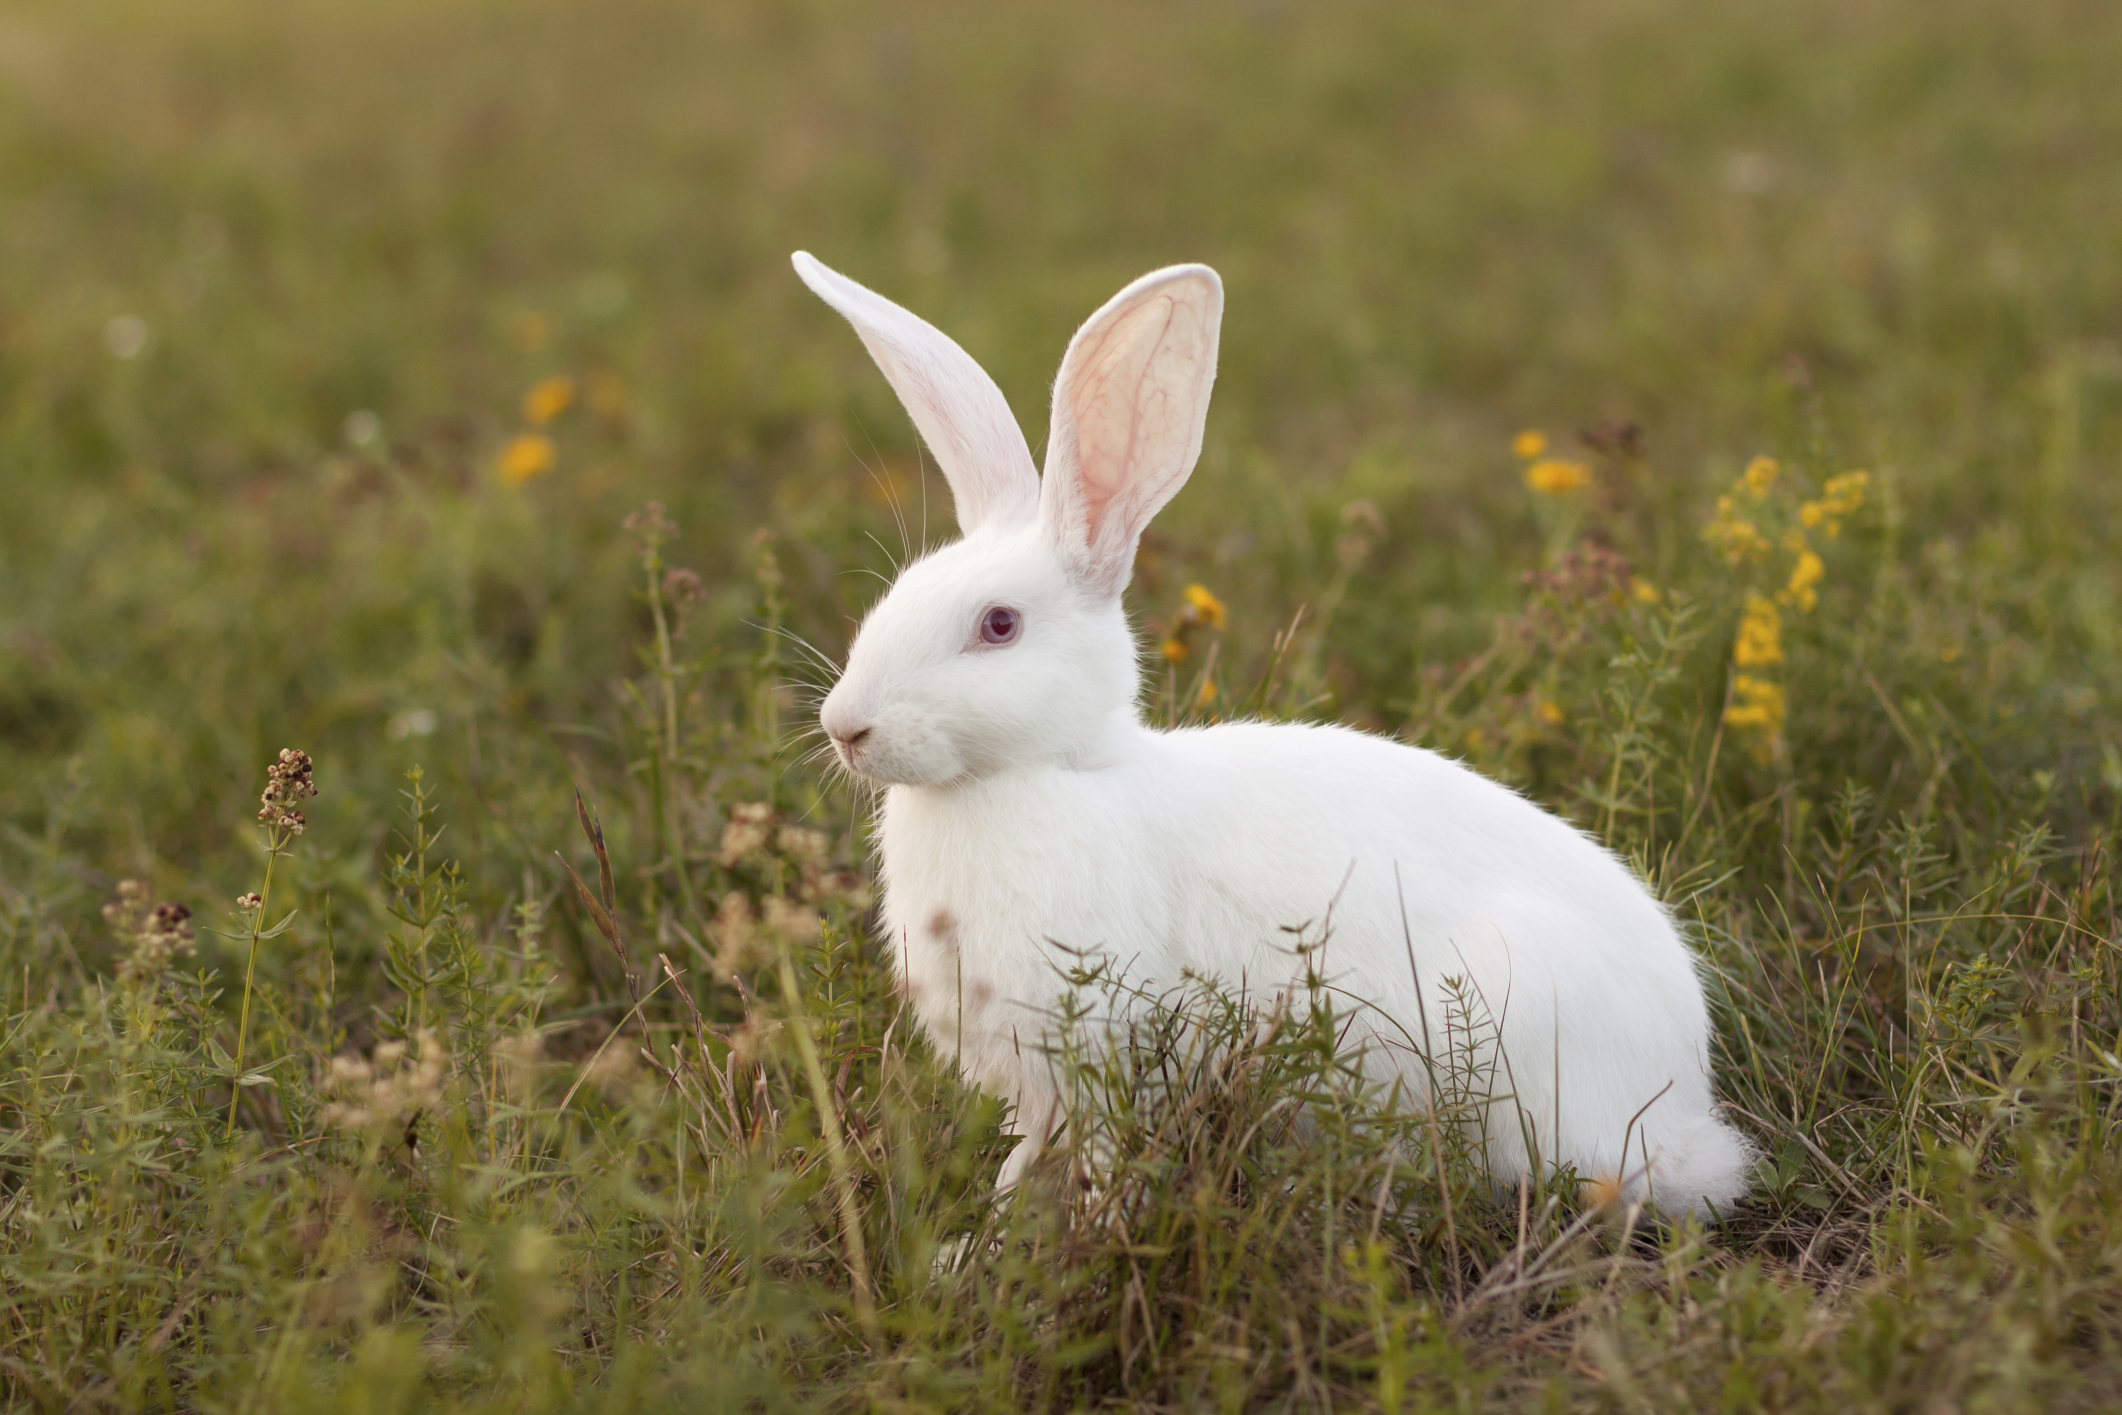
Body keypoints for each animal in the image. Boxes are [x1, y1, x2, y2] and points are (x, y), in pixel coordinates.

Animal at [797, 251, 1757, 1221]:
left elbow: (1100, 1155)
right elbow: (1026, 1154)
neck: (1051, 771)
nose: (845, 727)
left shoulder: (1106, 1050)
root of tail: (1684, 1103)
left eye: (998, 625)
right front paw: (987, 1237)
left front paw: (1082, 1230)